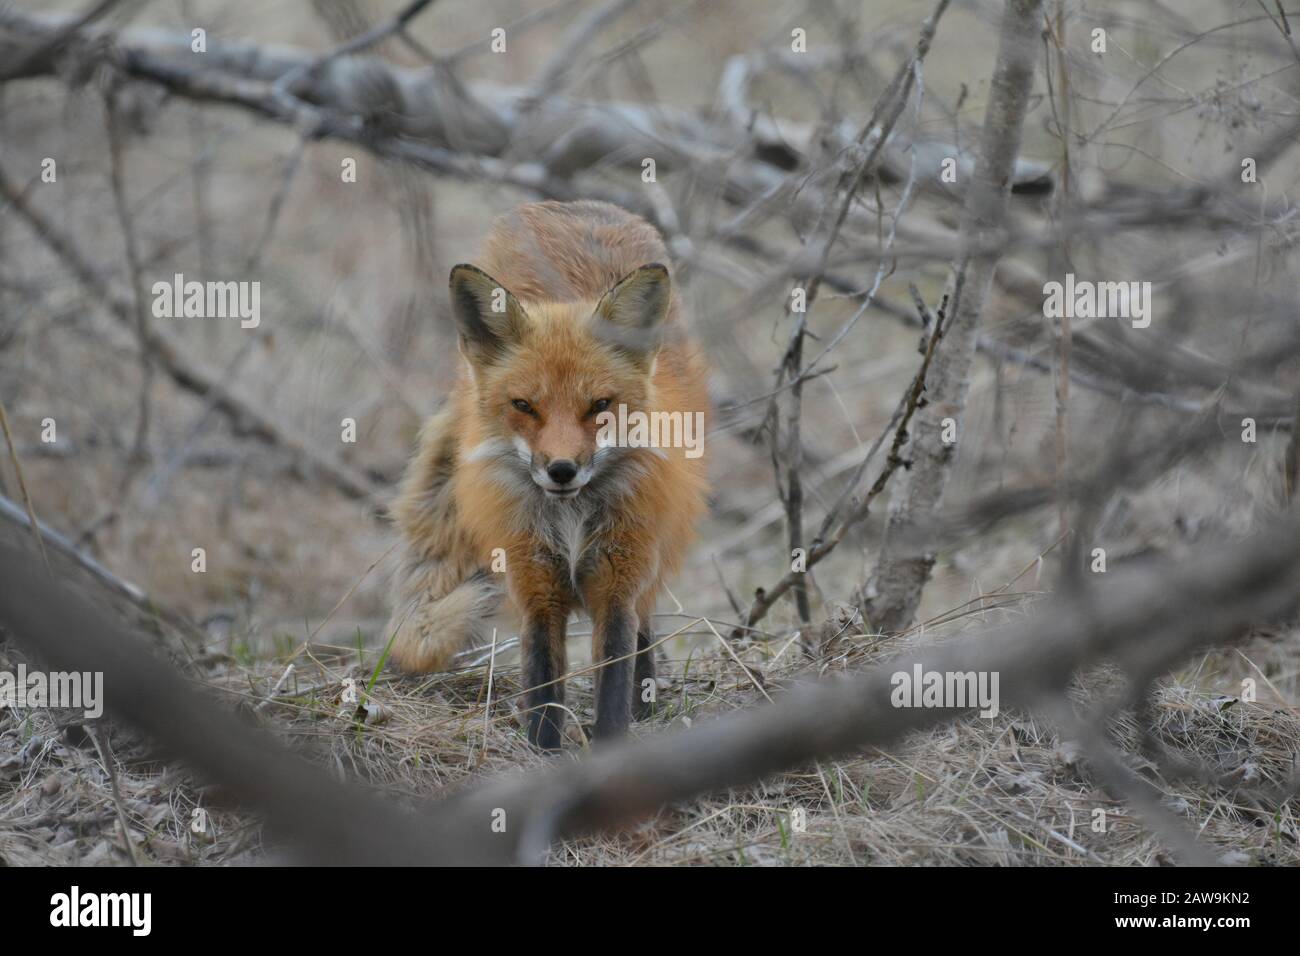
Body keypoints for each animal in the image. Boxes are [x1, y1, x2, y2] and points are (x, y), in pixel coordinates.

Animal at [382, 201, 707, 749]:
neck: (570, 520)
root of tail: (574, 207)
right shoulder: (533, 585)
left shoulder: (619, 583)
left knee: (646, 625)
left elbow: (613, 681)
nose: (560, 470)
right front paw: (542, 752)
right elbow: (542, 687)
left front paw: (614, 742)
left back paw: (647, 702)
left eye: (599, 406)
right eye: (524, 406)